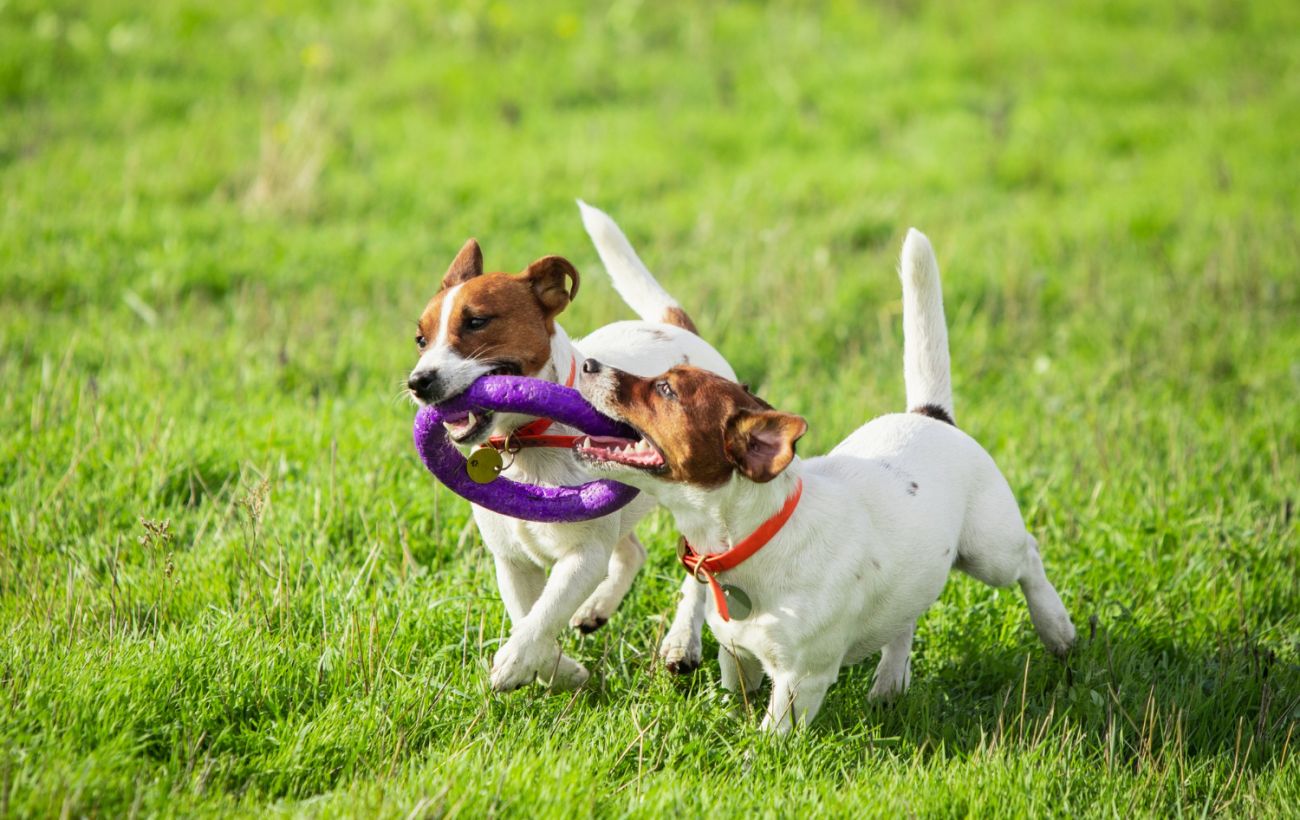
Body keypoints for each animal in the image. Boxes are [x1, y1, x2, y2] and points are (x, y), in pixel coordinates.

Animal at [405, 202, 733, 691]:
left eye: (477, 321)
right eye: (421, 340)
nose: (418, 382)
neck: (526, 442)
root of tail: (676, 329)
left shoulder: (582, 556)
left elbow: (543, 615)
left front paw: (515, 662)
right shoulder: (512, 561)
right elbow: (529, 614)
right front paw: (560, 670)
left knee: (698, 571)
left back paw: (681, 642)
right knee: (632, 552)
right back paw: (597, 609)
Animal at [577, 230, 1076, 732]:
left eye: (666, 390)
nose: (588, 365)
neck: (755, 538)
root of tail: (931, 415)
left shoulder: (800, 680)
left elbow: (770, 735)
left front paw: (754, 749)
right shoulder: (738, 656)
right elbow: (738, 697)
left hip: (989, 551)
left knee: (1029, 556)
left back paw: (1057, 628)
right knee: (906, 619)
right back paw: (890, 683)